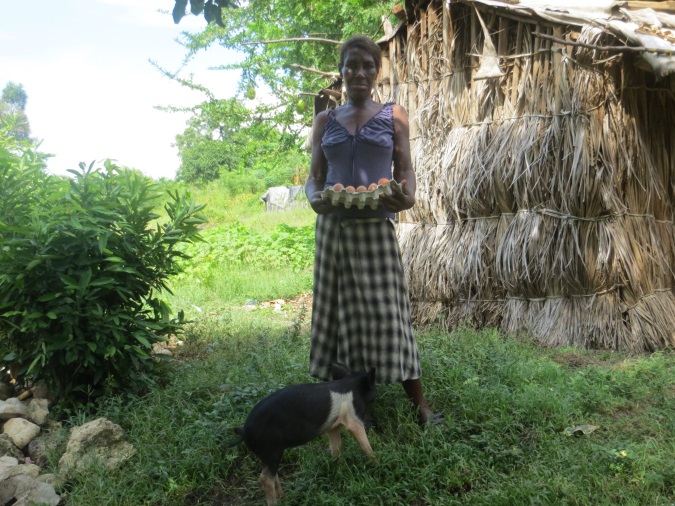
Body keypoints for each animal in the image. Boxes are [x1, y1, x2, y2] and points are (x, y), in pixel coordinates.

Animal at [230, 364, 378, 506]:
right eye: (373, 395)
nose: (372, 422)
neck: (353, 386)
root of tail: (245, 431)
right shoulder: (353, 420)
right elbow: (365, 446)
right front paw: (375, 463)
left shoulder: (332, 427)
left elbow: (336, 449)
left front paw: (339, 469)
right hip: (272, 450)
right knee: (264, 478)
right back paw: (276, 502)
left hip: (268, 455)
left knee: (272, 474)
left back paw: (283, 496)